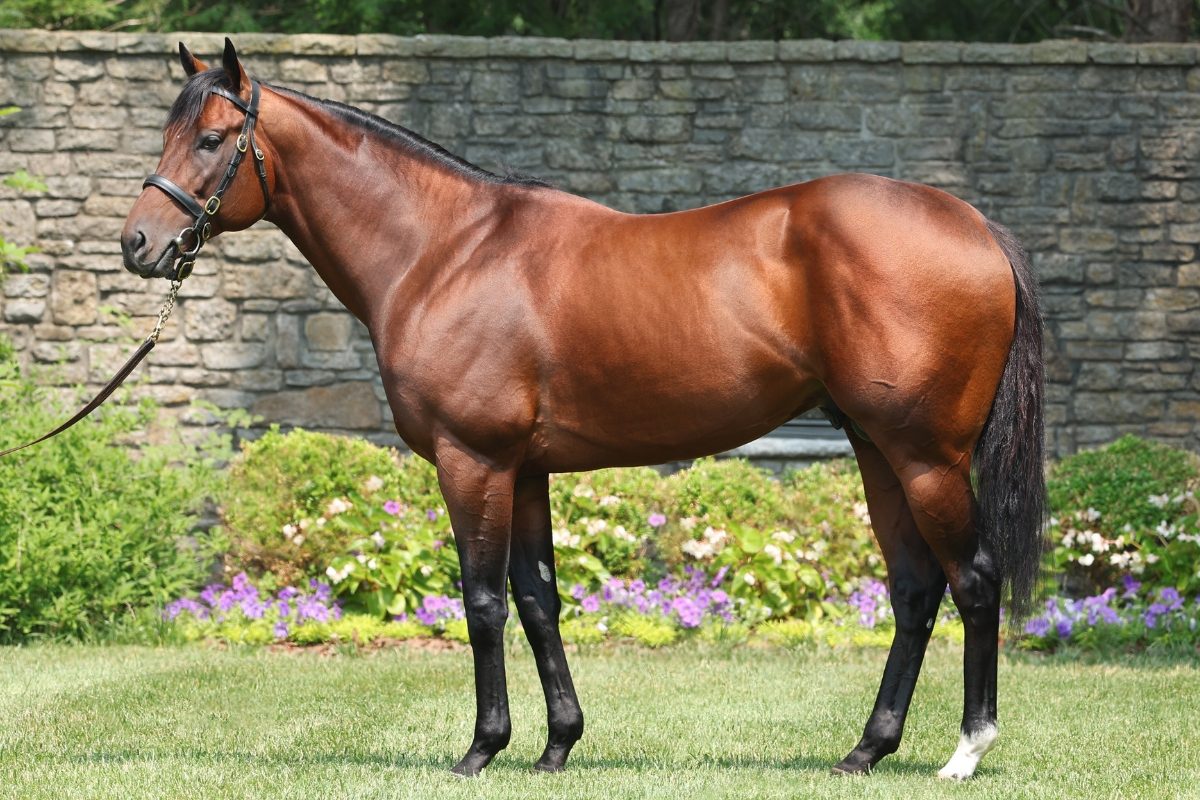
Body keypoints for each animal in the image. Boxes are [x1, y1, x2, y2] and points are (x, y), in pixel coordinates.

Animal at [121, 39, 1046, 780]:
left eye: (212, 139)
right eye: (167, 134)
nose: (138, 244)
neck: (443, 251)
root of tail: (976, 227)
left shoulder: (473, 462)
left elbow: (482, 602)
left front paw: (480, 749)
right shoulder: (525, 471)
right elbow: (538, 601)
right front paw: (557, 744)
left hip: (926, 457)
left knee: (973, 580)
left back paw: (966, 751)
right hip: (877, 450)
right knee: (916, 589)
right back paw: (866, 750)